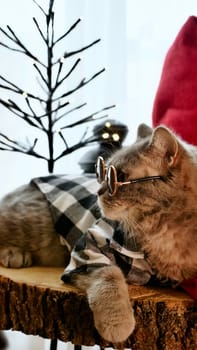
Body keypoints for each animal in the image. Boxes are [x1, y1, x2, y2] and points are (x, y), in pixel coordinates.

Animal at [0, 123, 197, 344]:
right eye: (104, 172)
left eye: (119, 177)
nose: (98, 191)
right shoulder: (90, 247)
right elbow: (110, 277)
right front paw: (118, 325)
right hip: (31, 224)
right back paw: (14, 254)